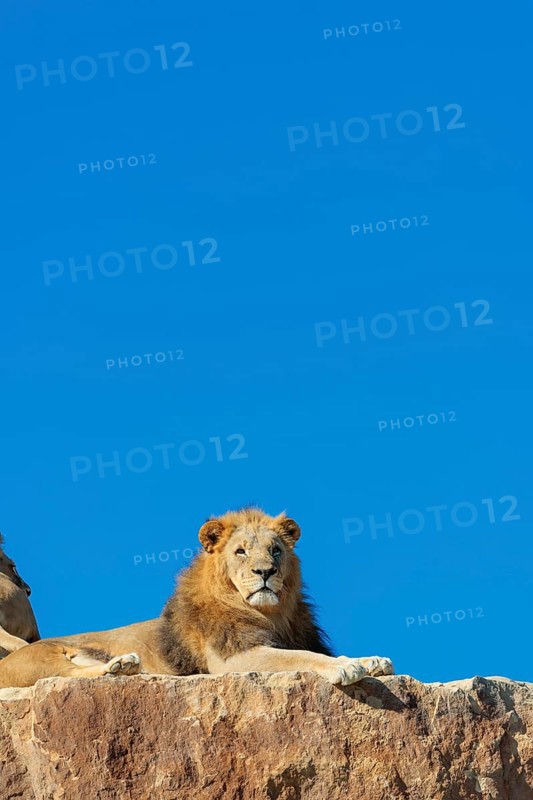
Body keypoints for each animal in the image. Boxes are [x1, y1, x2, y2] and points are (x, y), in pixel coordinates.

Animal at [0, 508, 393, 689]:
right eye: (240, 551)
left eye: (276, 550)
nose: (264, 572)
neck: (271, 612)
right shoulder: (233, 658)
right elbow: (299, 657)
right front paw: (344, 666)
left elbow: (308, 650)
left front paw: (373, 660)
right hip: (41, 661)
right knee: (69, 676)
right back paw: (120, 666)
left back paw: (128, 666)